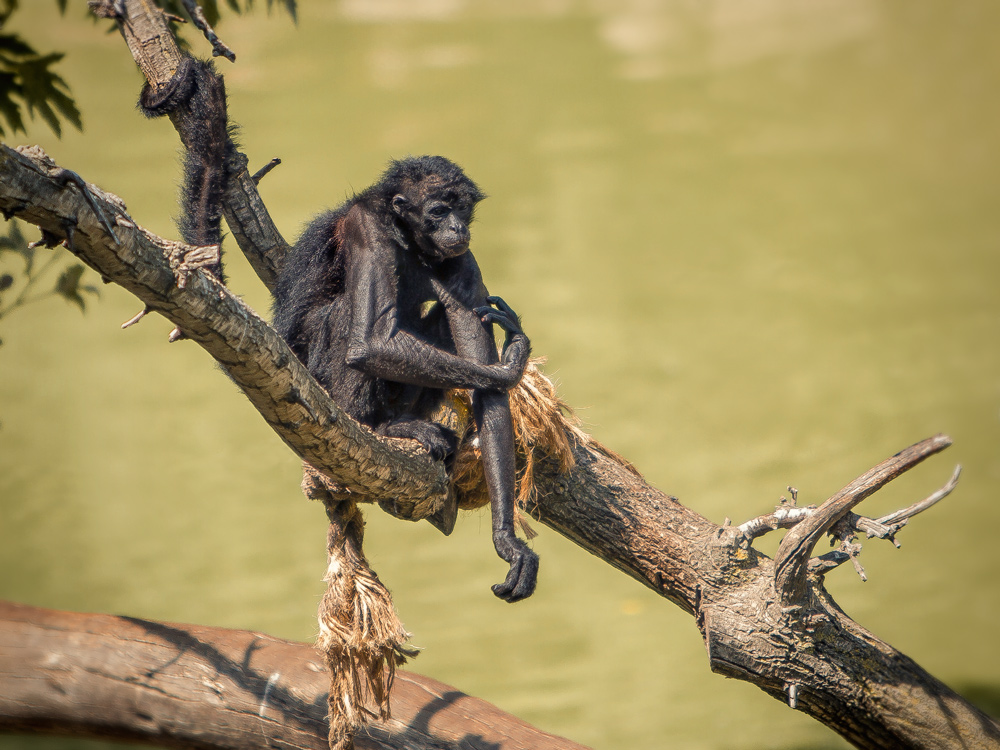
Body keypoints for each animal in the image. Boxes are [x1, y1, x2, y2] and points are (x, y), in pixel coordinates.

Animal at [273, 156, 539, 602]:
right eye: (438, 210)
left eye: (462, 208)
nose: (457, 227)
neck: (408, 240)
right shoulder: (366, 226)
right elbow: (371, 342)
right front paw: (512, 361)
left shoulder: (461, 259)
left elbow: (488, 390)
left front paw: (506, 539)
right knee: (345, 315)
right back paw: (376, 426)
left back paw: (400, 424)